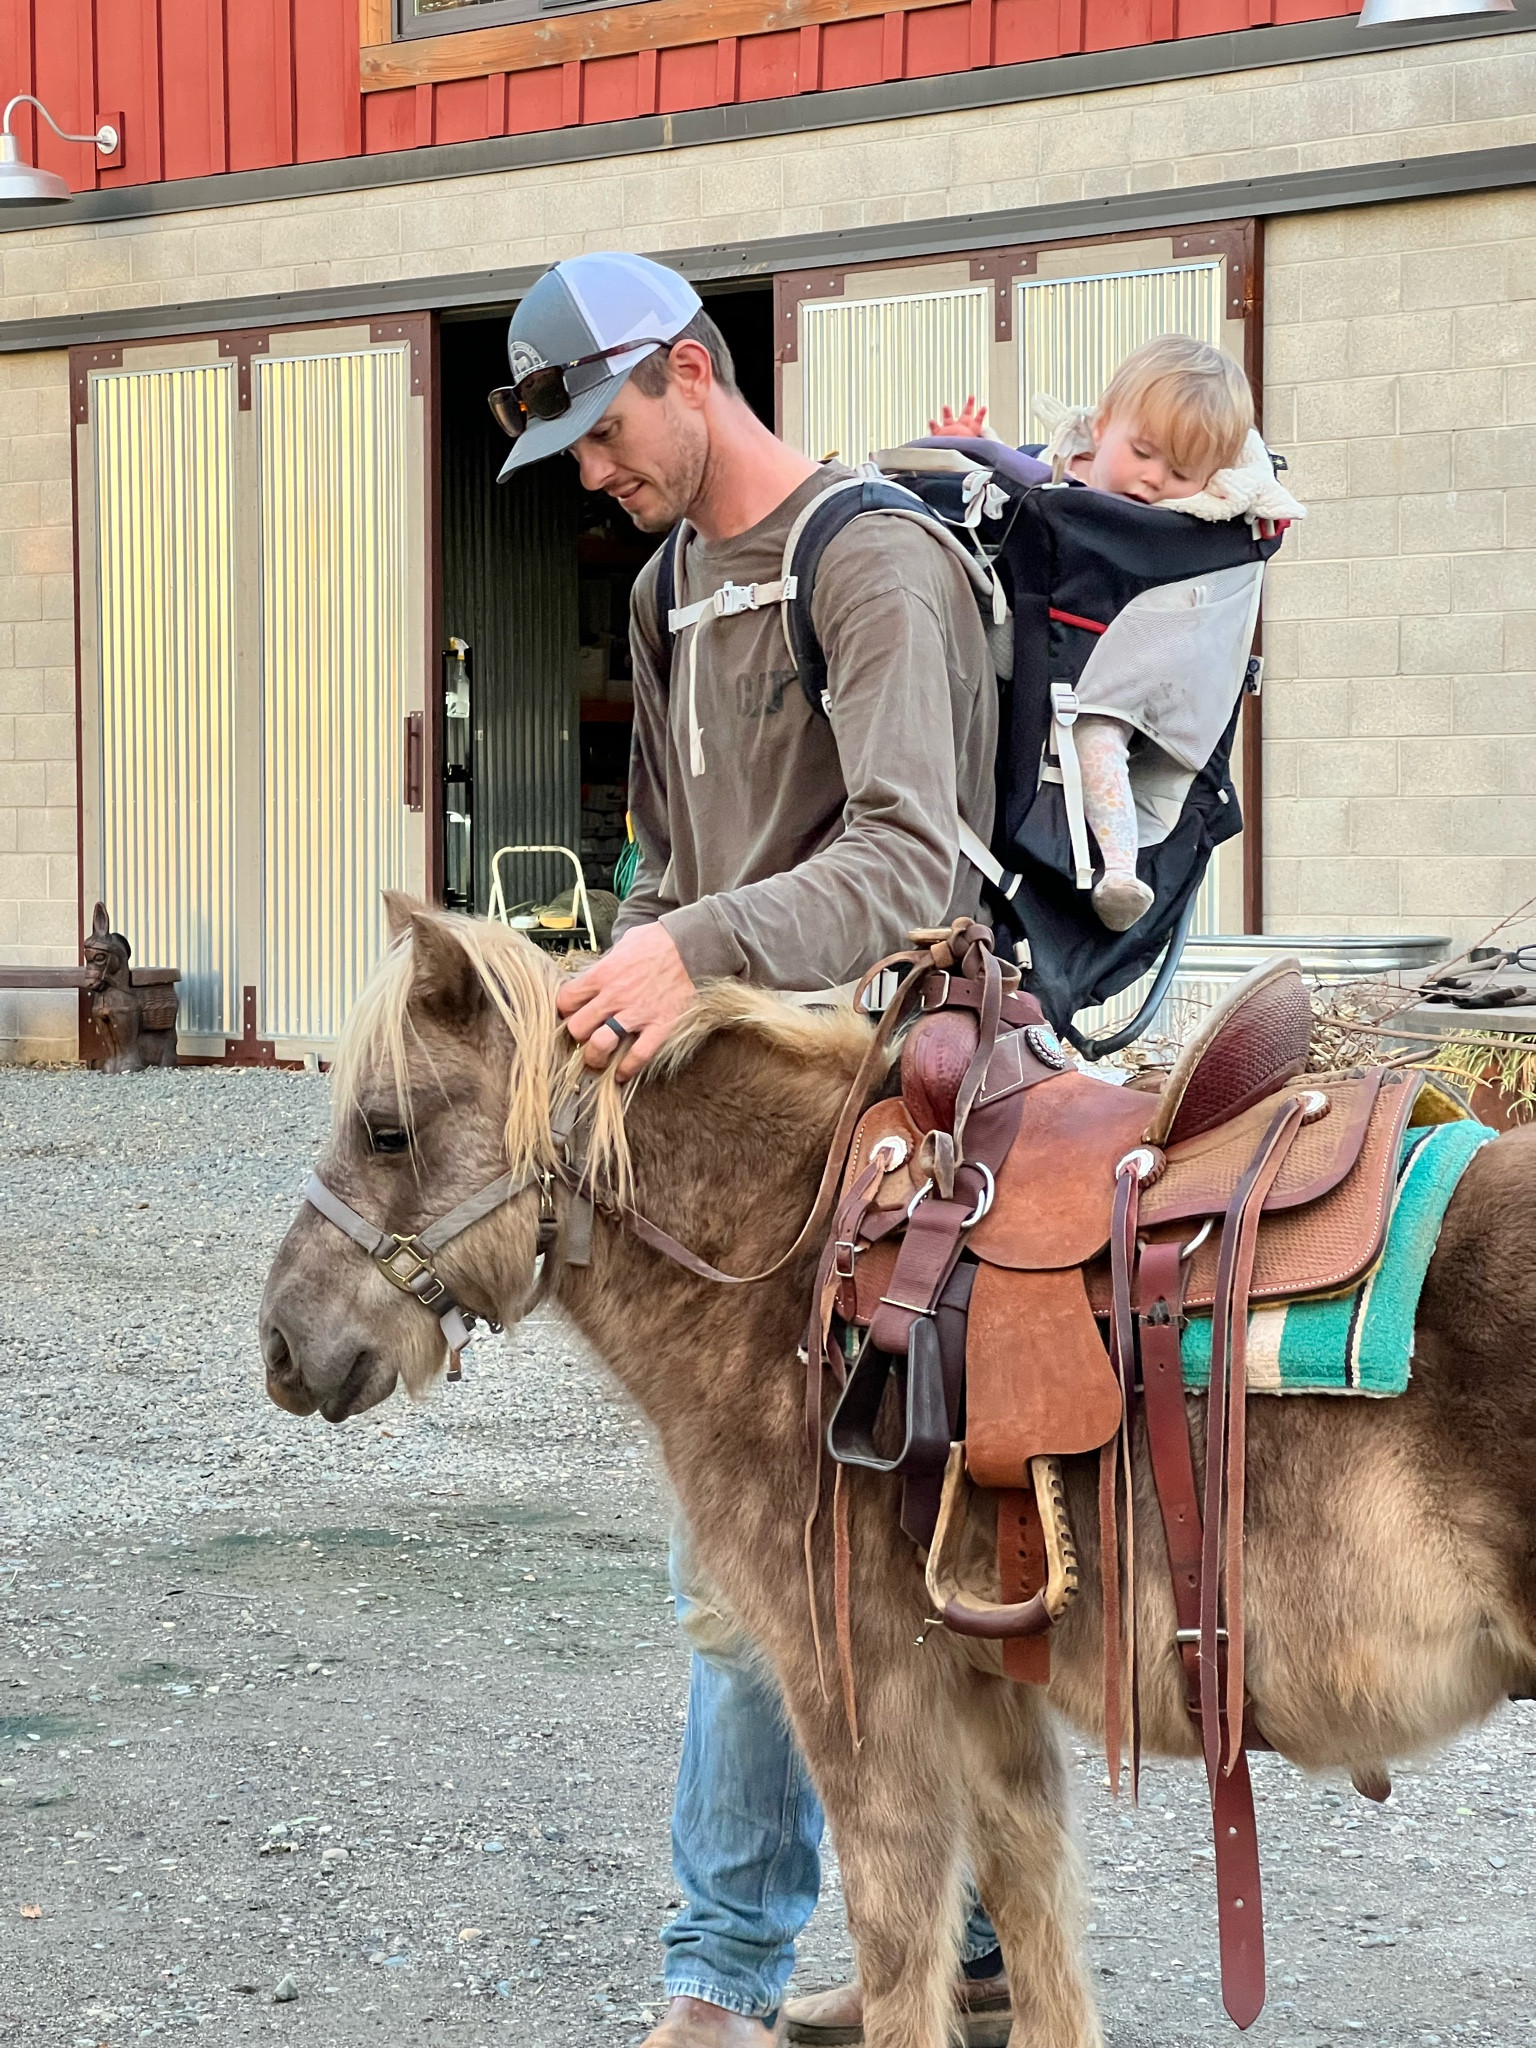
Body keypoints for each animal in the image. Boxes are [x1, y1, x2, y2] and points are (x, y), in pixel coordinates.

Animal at [259, 902, 1536, 2048]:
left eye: (384, 1127)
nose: (280, 1345)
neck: (796, 1260)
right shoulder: (985, 1693)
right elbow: (1034, 1924)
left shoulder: (860, 1691)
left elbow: (902, 1952)